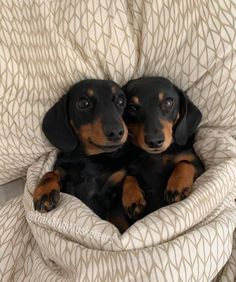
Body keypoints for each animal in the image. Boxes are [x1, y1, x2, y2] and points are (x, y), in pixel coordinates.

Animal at [121, 77, 205, 218]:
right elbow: (128, 176)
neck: (159, 155)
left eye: (168, 102)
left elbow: (185, 163)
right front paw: (132, 197)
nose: (154, 142)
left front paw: (177, 186)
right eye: (131, 107)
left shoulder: (199, 167)